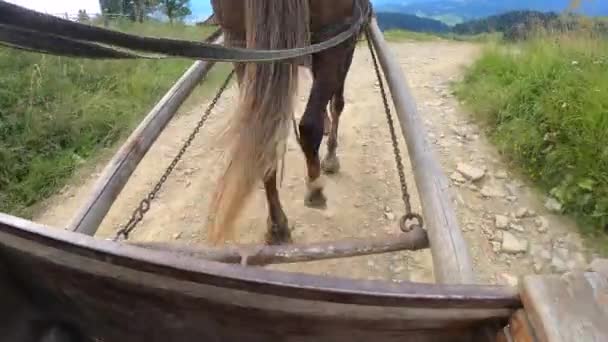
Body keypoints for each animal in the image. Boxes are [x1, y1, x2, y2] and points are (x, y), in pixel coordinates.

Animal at [208, 0, 370, 246]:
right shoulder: (344, 41)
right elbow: (337, 103)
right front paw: (331, 158)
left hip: (240, 45)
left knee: (263, 139)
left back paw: (277, 226)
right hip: (333, 36)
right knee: (309, 125)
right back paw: (315, 190)